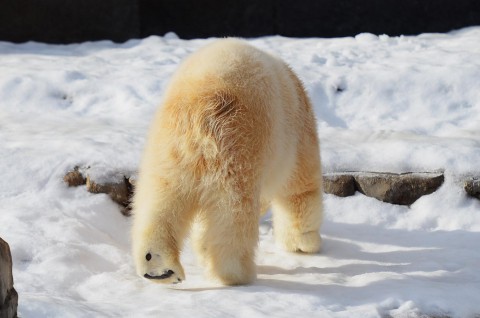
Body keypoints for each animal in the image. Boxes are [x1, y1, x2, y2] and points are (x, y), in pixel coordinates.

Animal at [132, 38, 322, 286]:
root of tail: (199, 104)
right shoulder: (298, 137)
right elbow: (300, 190)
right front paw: (304, 244)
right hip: (237, 145)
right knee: (233, 211)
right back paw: (235, 273)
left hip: (167, 147)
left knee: (160, 195)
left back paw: (159, 267)